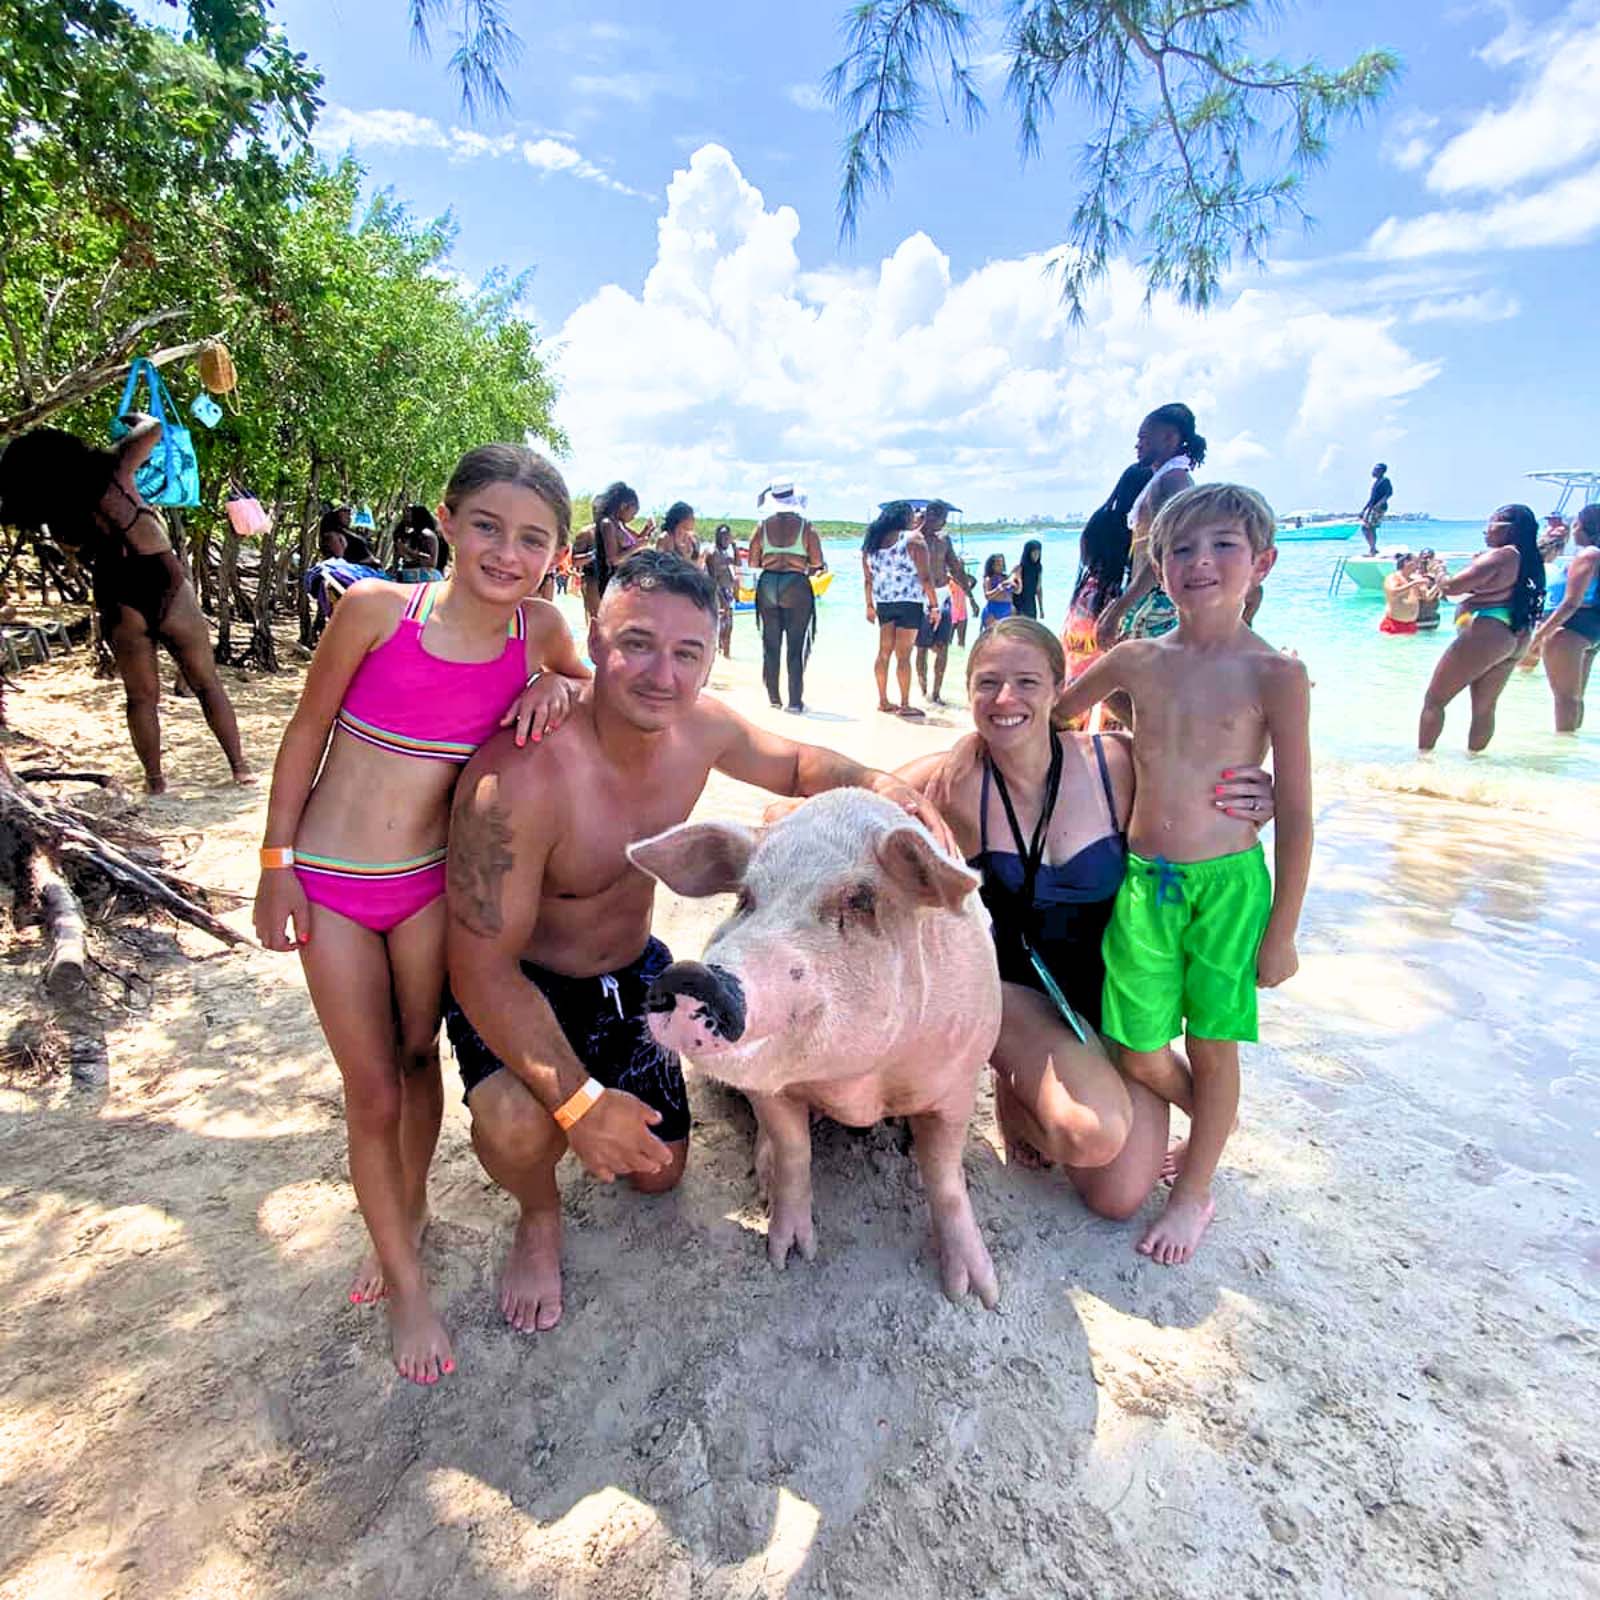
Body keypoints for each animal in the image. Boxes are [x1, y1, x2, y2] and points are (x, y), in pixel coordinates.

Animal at [627, 788, 1003, 1308]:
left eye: (860, 900)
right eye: (746, 898)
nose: (690, 975)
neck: (859, 1084)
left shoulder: (958, 1082)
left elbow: (944, 1175)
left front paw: (974, 1294)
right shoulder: (769, 1089)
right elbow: (793, 1152)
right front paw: (787, 1257)